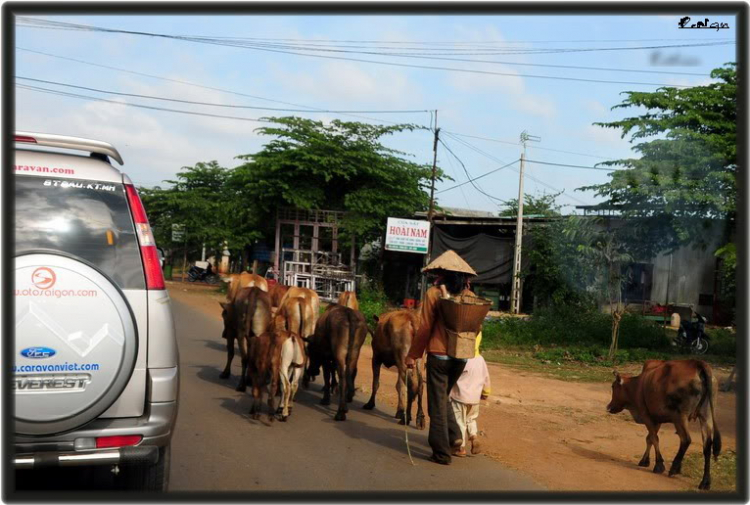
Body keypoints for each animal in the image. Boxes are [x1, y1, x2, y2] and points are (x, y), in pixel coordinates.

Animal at [608, 358, 724, 488]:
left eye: (613, 386)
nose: (609, 407)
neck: (637, 385)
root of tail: (697, 363)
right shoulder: (656, 419)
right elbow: (649, 439)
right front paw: (645, 461)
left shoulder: (646, 416)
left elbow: (654, 438)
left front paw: (658, 465)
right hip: (706, 415)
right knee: (707, 445)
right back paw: (705, 481)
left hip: (680, 416)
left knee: (686, 439)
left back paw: (674, 468)